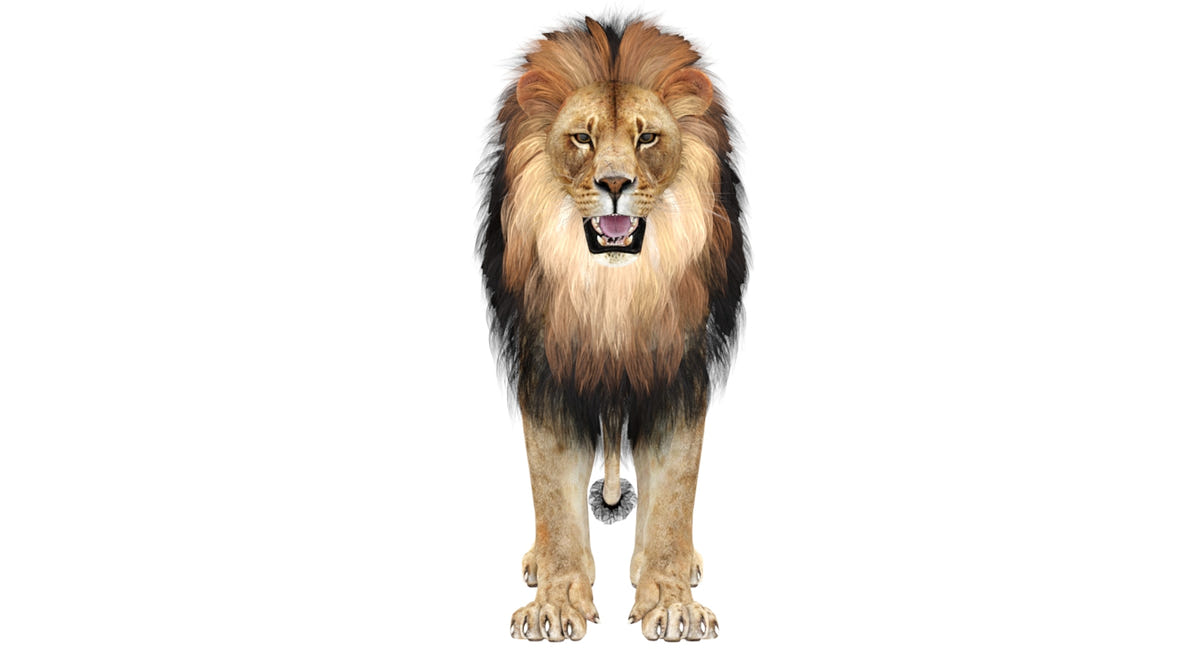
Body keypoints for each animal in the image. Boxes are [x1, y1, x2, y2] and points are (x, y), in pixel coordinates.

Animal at [478, 17, 747, 642]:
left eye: (647, 138)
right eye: (583, 138)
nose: (616, 183)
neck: (614, 295)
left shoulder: (678, 376)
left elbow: (673, 498)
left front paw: (671, 602)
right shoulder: (548, 375)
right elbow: (553, 496)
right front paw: (555, 602)